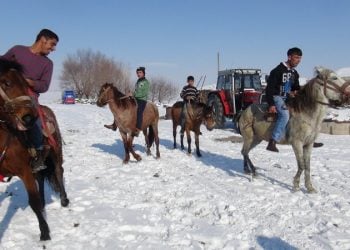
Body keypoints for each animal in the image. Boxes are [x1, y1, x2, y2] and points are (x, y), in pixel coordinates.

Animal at [0, 58, 69, 240]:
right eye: (6, 83)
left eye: (25, 84)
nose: (29, 118)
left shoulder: (24, 170)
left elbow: (33, 201)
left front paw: (44, 232)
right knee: (40, 176)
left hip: (55, 153)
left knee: (58, 171)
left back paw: (64, 200)